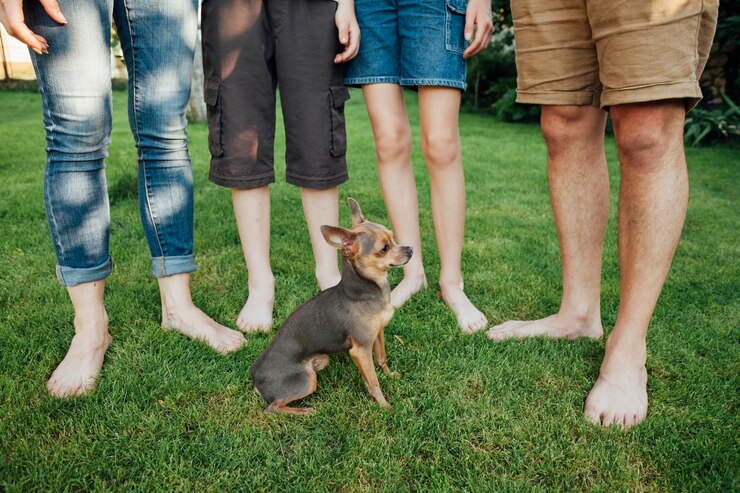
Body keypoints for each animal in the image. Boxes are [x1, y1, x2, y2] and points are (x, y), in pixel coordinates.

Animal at [250, 198, 410, 414]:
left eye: (393, 238)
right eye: (384, 248)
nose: (410, 249)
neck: (366, 291)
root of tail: (256, 380)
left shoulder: (378, 333)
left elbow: (381, 358)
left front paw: (389, 374)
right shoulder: (361, 350)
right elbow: (373, 381)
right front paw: (384, 405)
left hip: (321, 362)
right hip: (307, 380)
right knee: (273, 407)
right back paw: (306, 411)